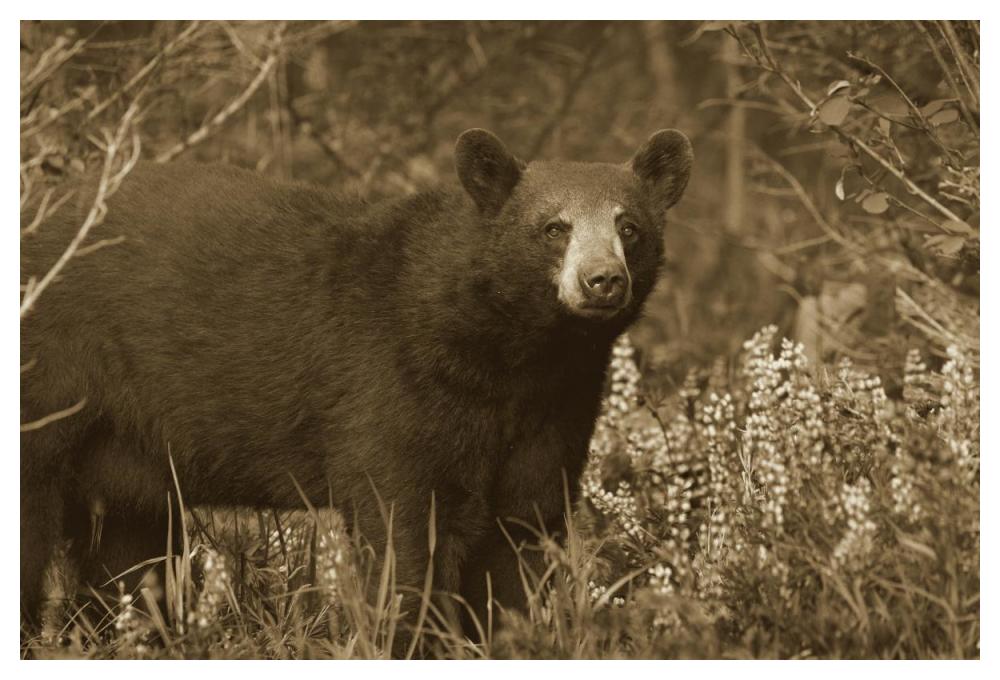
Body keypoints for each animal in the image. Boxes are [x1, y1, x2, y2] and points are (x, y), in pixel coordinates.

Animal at [20, 128, 692, 645]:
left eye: (629, 226)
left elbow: (522, 530)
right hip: (50, 379)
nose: (602, 280)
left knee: (130, 550)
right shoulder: (394, 384)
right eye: (554, 227)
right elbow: (401, 530)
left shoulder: (556, 409)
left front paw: (506, 636)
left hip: (123, 451)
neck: (512, 354)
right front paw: (409, 638)